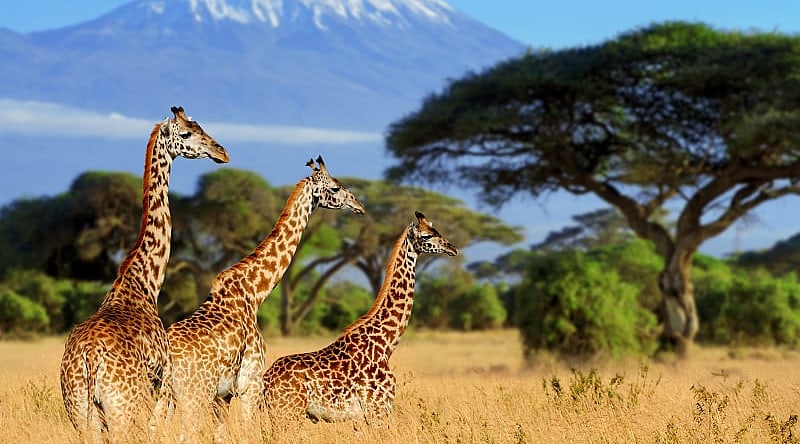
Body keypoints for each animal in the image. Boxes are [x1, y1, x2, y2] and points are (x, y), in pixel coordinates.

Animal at [59, 106, 229, 443]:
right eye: (187, 132)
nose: (222, 152)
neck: (144, 283)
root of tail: (89, 357)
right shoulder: (162, 386)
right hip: (125, 409)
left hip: (80, 412)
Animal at [166, 156, 365, 436]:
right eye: (335, 188)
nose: (359, 206)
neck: (254, 292)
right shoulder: (251, 383)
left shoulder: (224, 395)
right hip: (194, 395)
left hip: (165, 398)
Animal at [262, 211, 458, 423]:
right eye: (426, 236)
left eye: (437, 231)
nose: (453, 248)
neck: (385, 345)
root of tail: (266, 381)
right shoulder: (379, 409)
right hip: (288, 413)